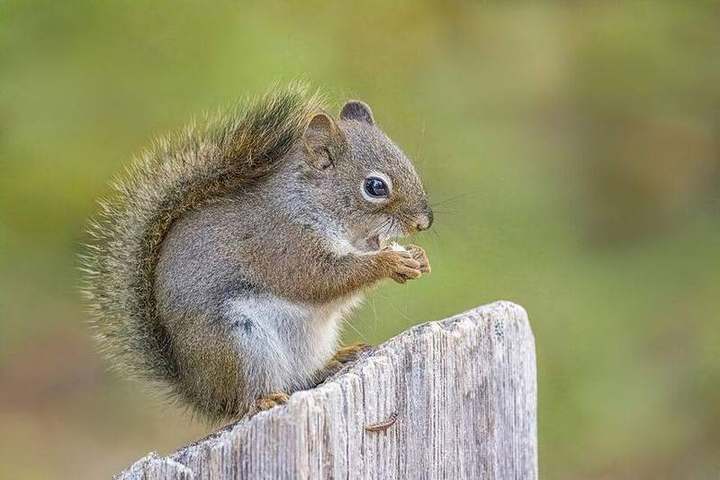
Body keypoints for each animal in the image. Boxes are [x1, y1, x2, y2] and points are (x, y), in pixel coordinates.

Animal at [81, 84, 433, 422]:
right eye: (375, 187)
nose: (424, 222)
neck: (312, 203)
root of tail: (202, 392)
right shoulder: (283, 244)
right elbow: (321, 280)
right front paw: (390, 261)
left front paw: (416, 257)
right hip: (240, 345)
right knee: (245, 400)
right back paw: (263, 399)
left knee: (300, 379)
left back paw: (334, 360)